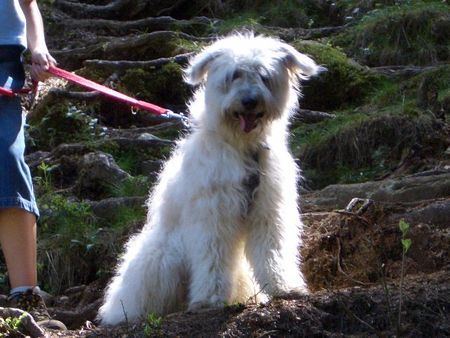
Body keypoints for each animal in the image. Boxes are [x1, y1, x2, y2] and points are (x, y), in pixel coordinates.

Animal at [100, 33, 322, 324]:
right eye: (234, 75)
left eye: (263, 76)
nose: (249, 101)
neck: (243, 149)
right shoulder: (214, 215)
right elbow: (213, 258)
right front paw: (210, 299)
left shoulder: (268, 211)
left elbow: (272, 251)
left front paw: (283, 287)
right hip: (161, 258)